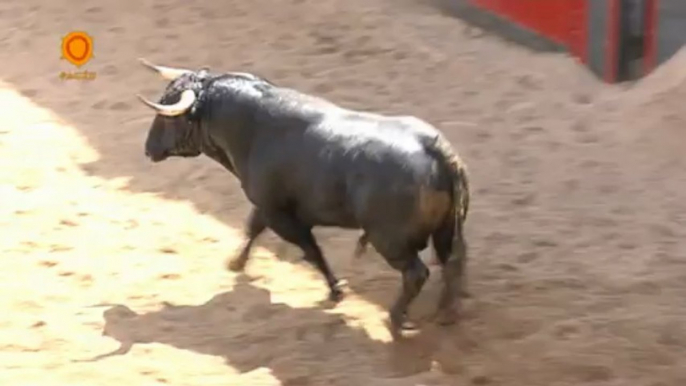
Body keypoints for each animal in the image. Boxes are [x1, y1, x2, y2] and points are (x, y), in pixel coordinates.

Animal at [138, 58, 472, 338]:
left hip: (389, 240)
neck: (253, 129)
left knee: (416, 273)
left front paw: (336, 289)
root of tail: (438, 151)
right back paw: (449, 312)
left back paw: (396, 318)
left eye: (168, 116)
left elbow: (309, 248)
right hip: (444, 230)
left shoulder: (280, 214)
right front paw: (236, 262)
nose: (148, 149)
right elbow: (253, 227)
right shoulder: (268, 206)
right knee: (454, 260)